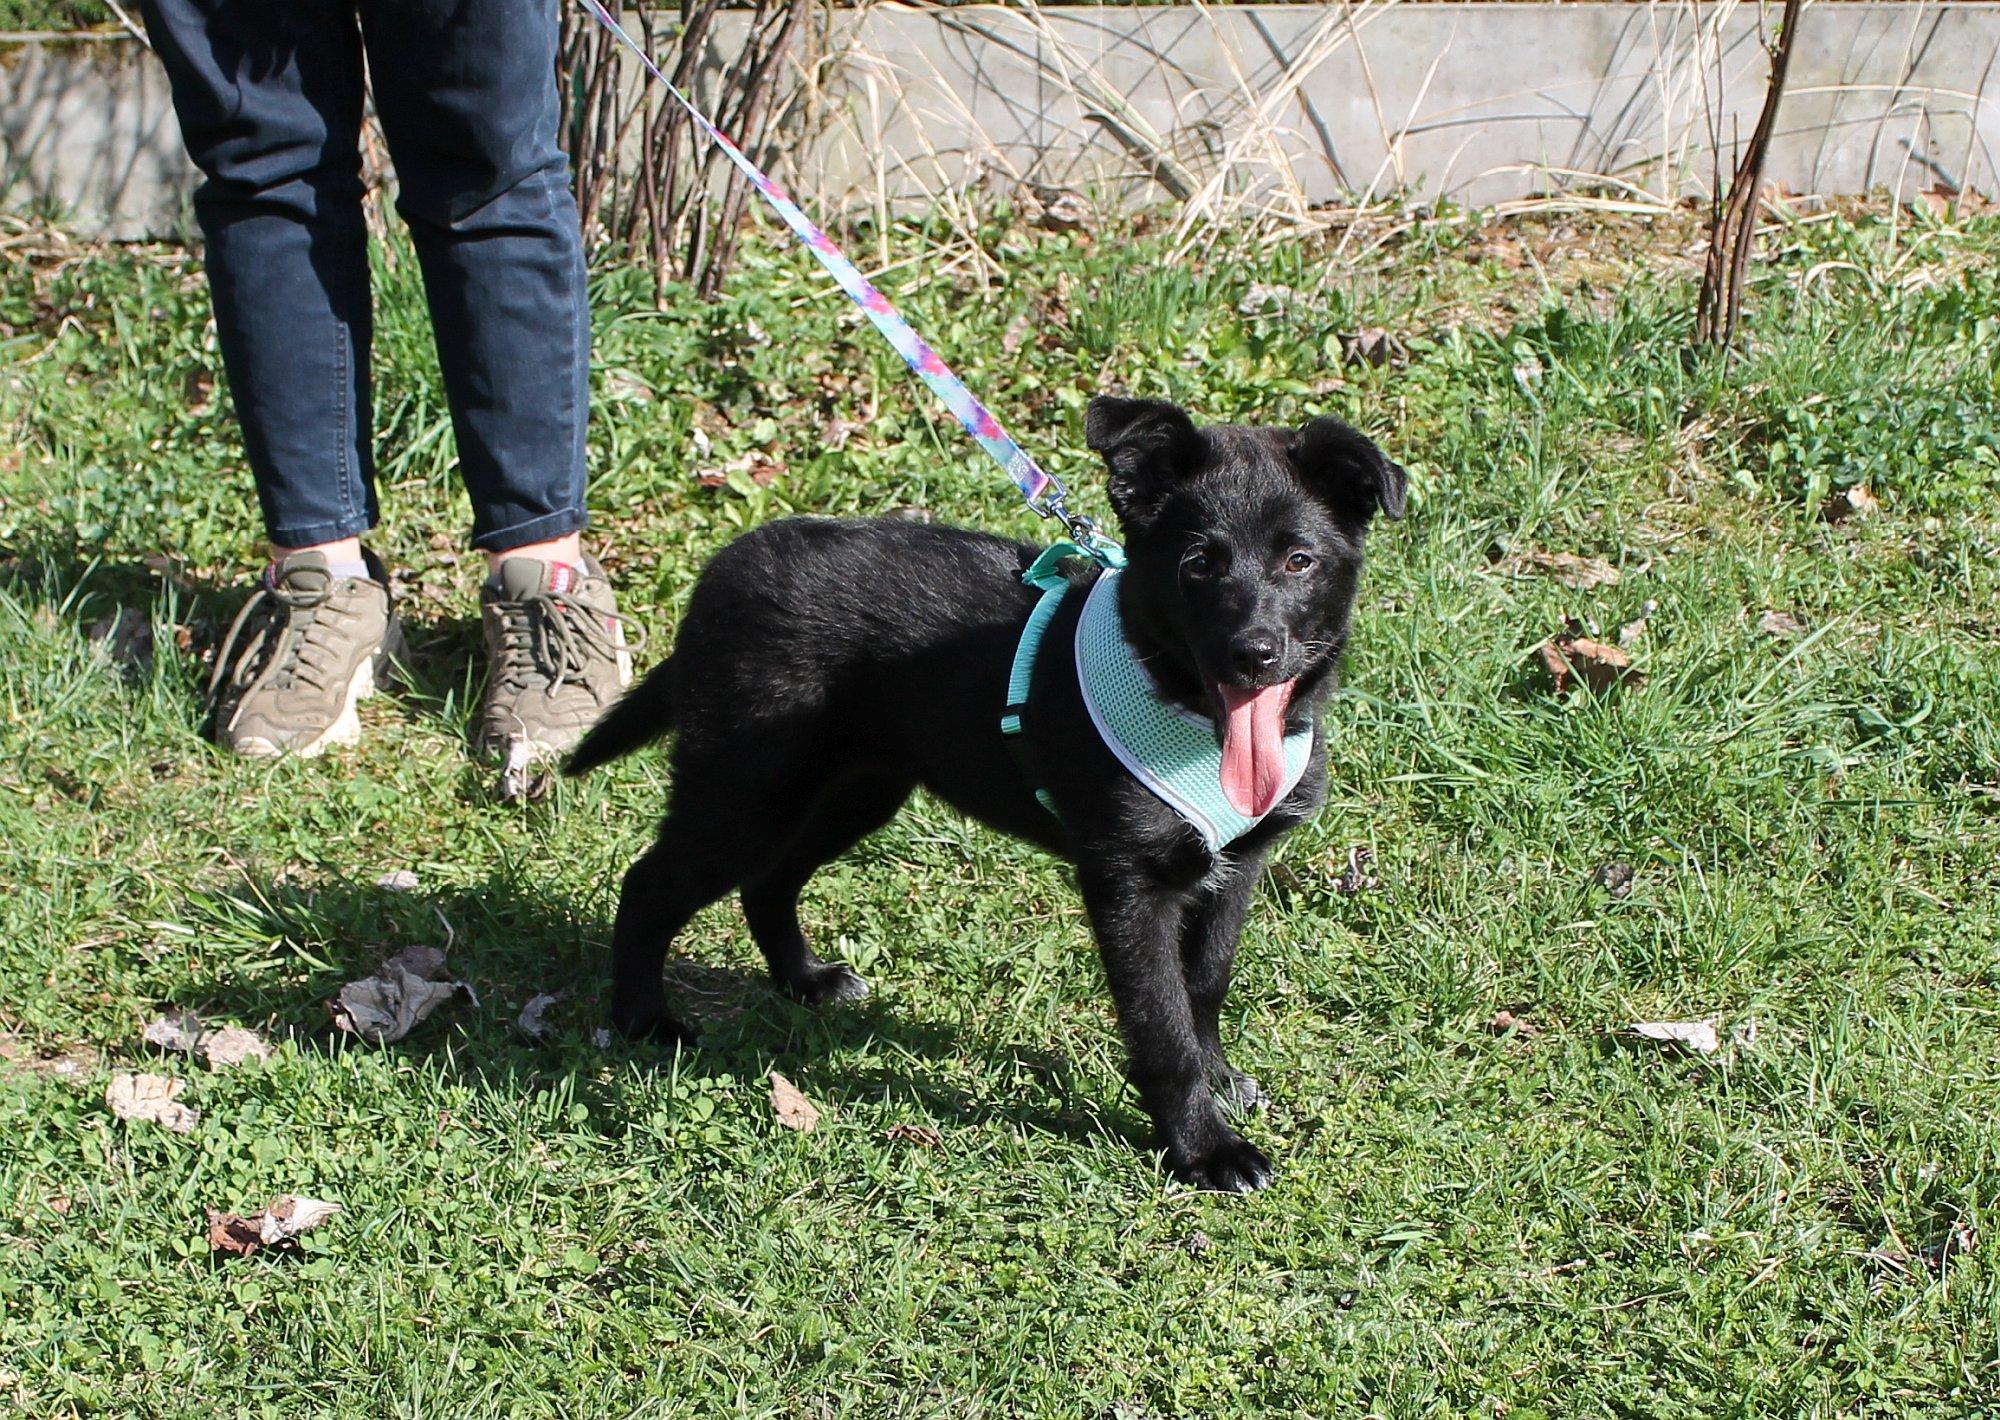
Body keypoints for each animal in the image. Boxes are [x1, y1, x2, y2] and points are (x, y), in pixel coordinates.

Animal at [567, 396, 1405, 1191]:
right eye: (1198, 565)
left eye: (1299, 560)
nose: (1253, 654)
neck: (1188, 712)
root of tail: (721, 570)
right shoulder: (1129, 885)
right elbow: (1162, 1022)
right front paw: (1204, 1149)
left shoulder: (1237, 867)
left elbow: (1203, 987)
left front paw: (1220, 1083)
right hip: (745, 791)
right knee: (650, 884)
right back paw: (644, 1019)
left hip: (853, 791)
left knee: (768, 881)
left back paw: (804, 981)